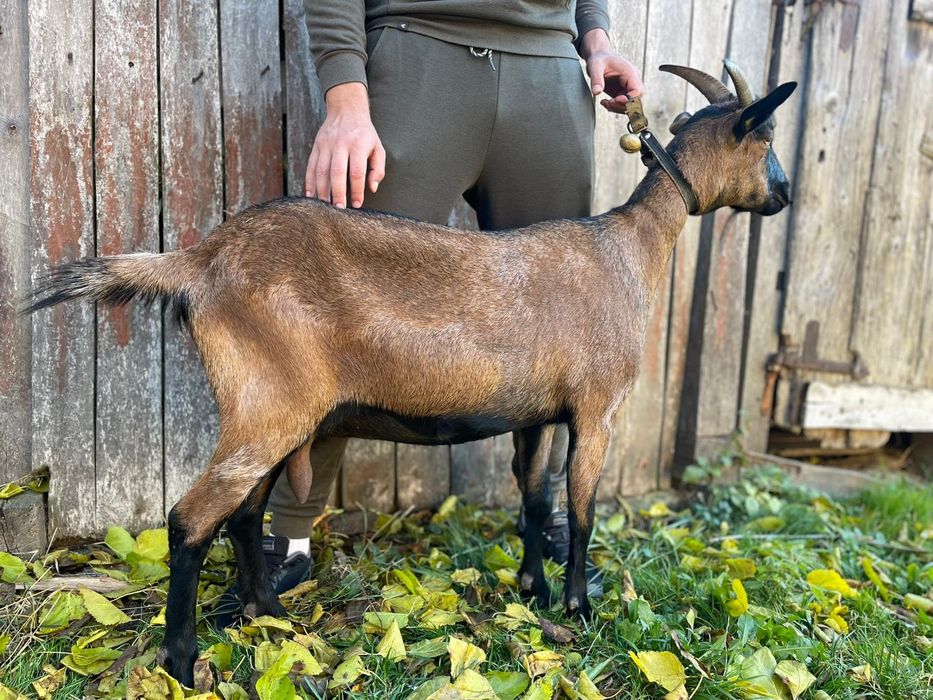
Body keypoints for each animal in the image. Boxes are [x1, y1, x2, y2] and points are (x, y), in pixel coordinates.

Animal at [25, 62, 795, 686]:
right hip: (268, 404)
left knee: (242, 514)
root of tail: (200, 260)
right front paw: (579, 607)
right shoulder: (597, 407)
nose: (785, 194)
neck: (628, 249)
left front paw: (533, 590)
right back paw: (183, 663)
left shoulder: (539, 412)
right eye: (764, 138)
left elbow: (534, 499)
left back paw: (267, 613)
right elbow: (581, 511)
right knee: (190, 520)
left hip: (275, 410)